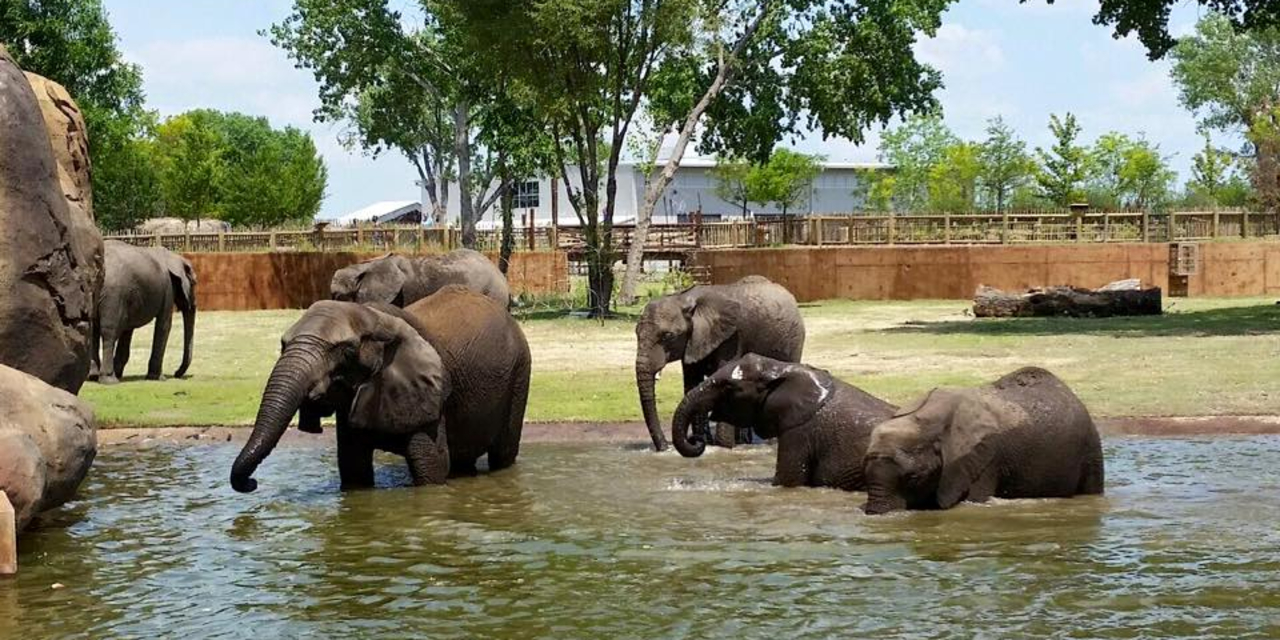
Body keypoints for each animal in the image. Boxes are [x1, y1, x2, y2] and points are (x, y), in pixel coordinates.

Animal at [91, 240, 197, 384]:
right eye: (194, 283)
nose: (176, 373)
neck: (173, 256)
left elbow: (127, 330)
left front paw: (119, 372)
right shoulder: (167, 289)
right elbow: (164, 325)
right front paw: (158, 378)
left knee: (92, 332)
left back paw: (92, 377)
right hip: (113, 295)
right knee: (109, 334)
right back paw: (109, 380)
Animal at [230, 285, 531, 494]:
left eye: (346, 351)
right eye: (283, 345)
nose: (252, 484)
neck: (374, 319)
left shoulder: (427, 395)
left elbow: (433, 465)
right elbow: (353, 468)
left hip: (520, 372)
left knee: (502, 454)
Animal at [635, 275, 805, 451]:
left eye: (668, 336)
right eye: (636, 332)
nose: (664, 448)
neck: (684, 298)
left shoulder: (731, 339)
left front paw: (724, 447)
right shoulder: (692, 342)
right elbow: (692, 383)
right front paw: (703, 442)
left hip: (793, 341)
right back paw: (744, 441)